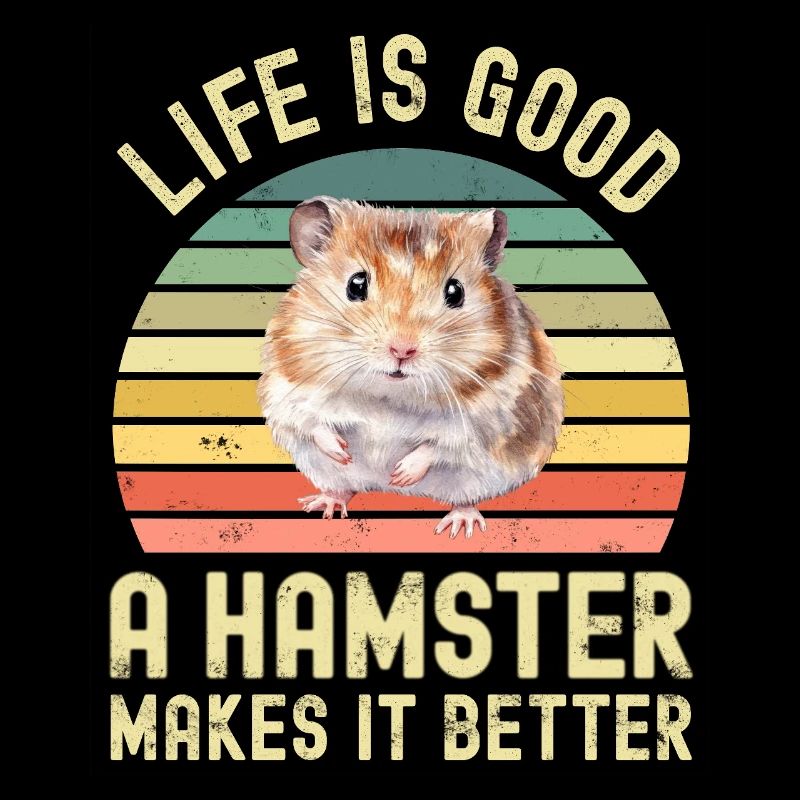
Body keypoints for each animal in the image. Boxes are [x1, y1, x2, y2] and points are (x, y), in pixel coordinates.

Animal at [258, 197, 564, 539]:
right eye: (356, 284)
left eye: (455, 291)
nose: (402, 350)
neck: (387, 396)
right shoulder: (285, 389)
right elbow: (311, 423)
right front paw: (343, 451)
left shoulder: (491, 416)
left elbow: (443, 444)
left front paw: (401, 474)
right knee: (342, 486)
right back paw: (325, 503)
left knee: (465, 499)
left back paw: (459, 524)